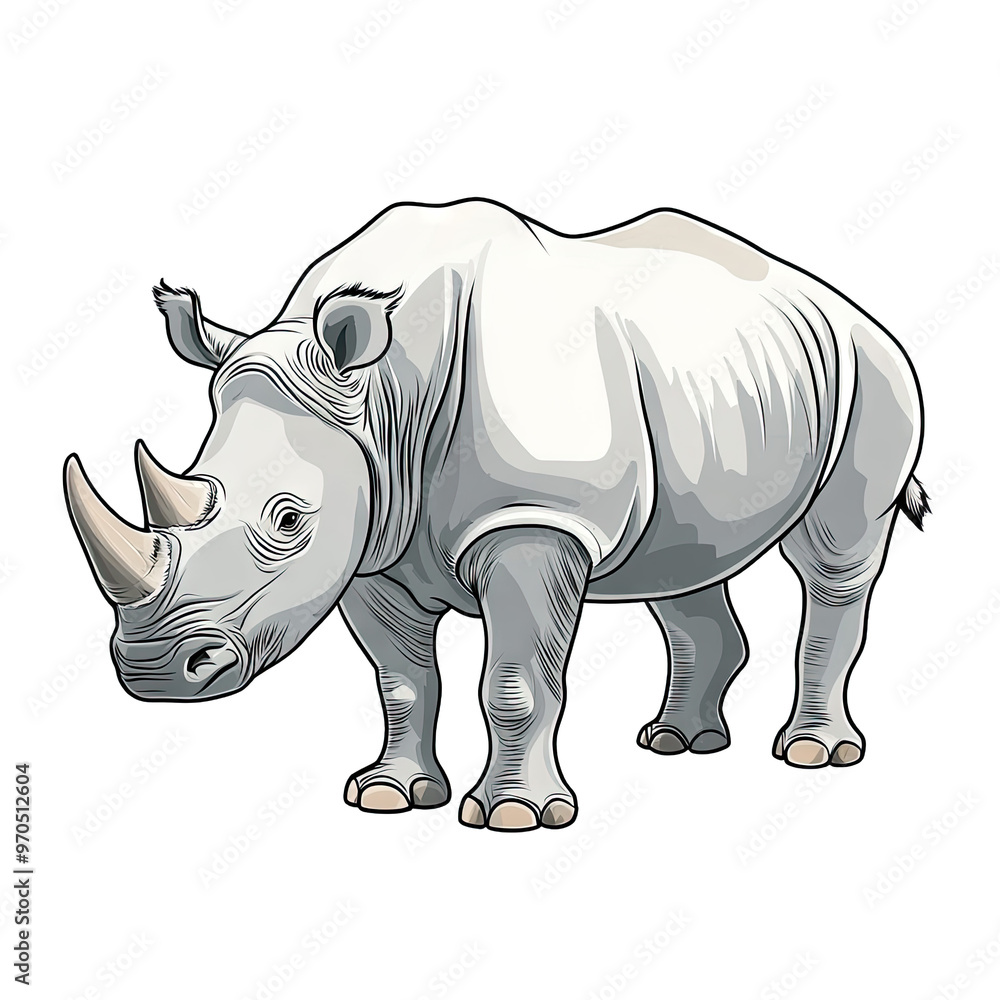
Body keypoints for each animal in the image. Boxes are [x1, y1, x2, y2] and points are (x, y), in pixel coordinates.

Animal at [65, 198, 927, 831]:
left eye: (288, 521)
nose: (153, 670)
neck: (383, 395)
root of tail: (844, 301)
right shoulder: (373, 536)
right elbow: (401, 681)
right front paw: (388, 796)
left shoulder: (534, 518)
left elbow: (514, 681)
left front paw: (517, 816)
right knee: (685, 564)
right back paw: (678, 744)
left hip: (872, 369)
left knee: (835, 556)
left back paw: (813, 753)